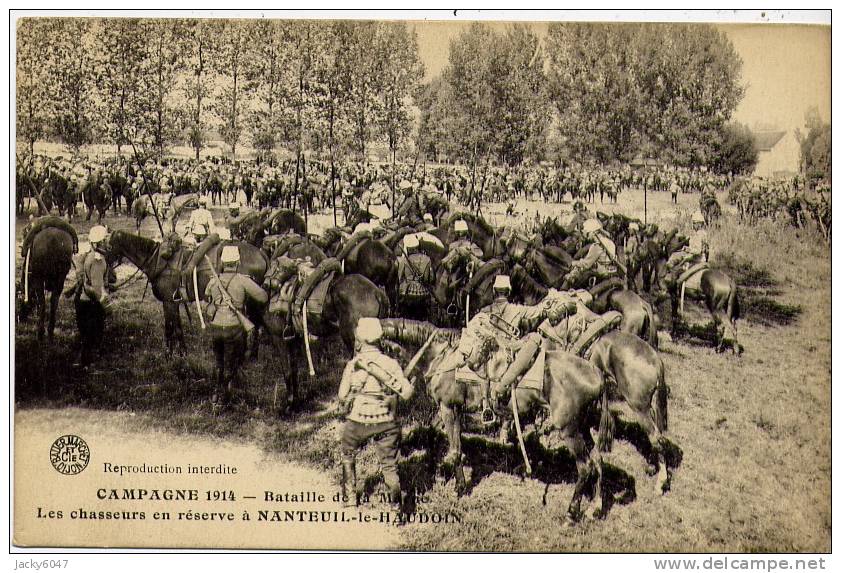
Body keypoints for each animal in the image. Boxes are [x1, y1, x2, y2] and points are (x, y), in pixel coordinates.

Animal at [105, 228, 268, 354]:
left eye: (107, 247)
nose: (111, 278)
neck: (158, 261)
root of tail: (261, 253)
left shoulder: (168, 302)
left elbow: (170, 328)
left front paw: (169, 354)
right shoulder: (174, 302)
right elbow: (177, 328)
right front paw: (182, 352)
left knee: (256, 322)